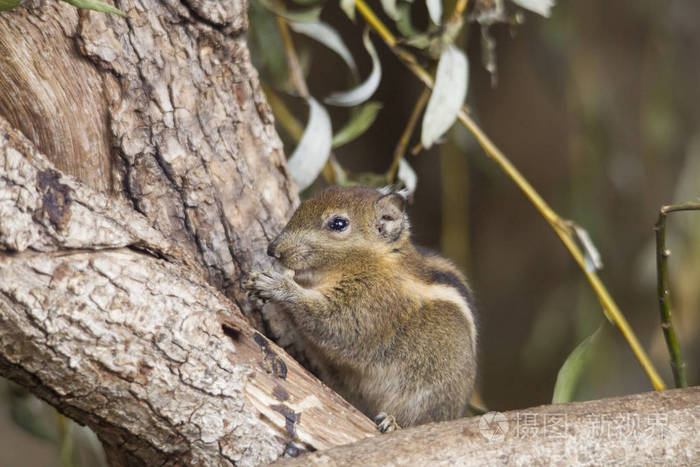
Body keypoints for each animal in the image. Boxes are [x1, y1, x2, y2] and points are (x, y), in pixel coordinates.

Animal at [243, 186, 478, 432]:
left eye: (338, 223)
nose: (272, 250)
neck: (374, 261)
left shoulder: (370, 306)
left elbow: (330, 323)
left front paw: (276, 285)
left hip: (431, 390)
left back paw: (393, 423)